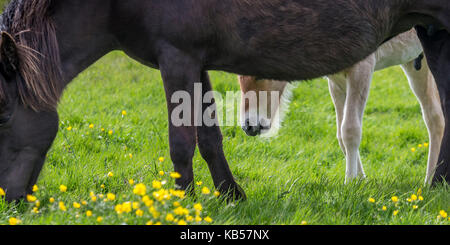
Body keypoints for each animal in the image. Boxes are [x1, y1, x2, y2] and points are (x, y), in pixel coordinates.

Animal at [241, 29, 444, 184]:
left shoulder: (361, 69)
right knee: (435, 118)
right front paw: (360, 181)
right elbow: (341, 134)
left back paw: (431, 182)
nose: (248, 126)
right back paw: (431, 182)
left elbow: (350, 130)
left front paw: (349, 183)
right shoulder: (336, 81)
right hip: (416, 63)